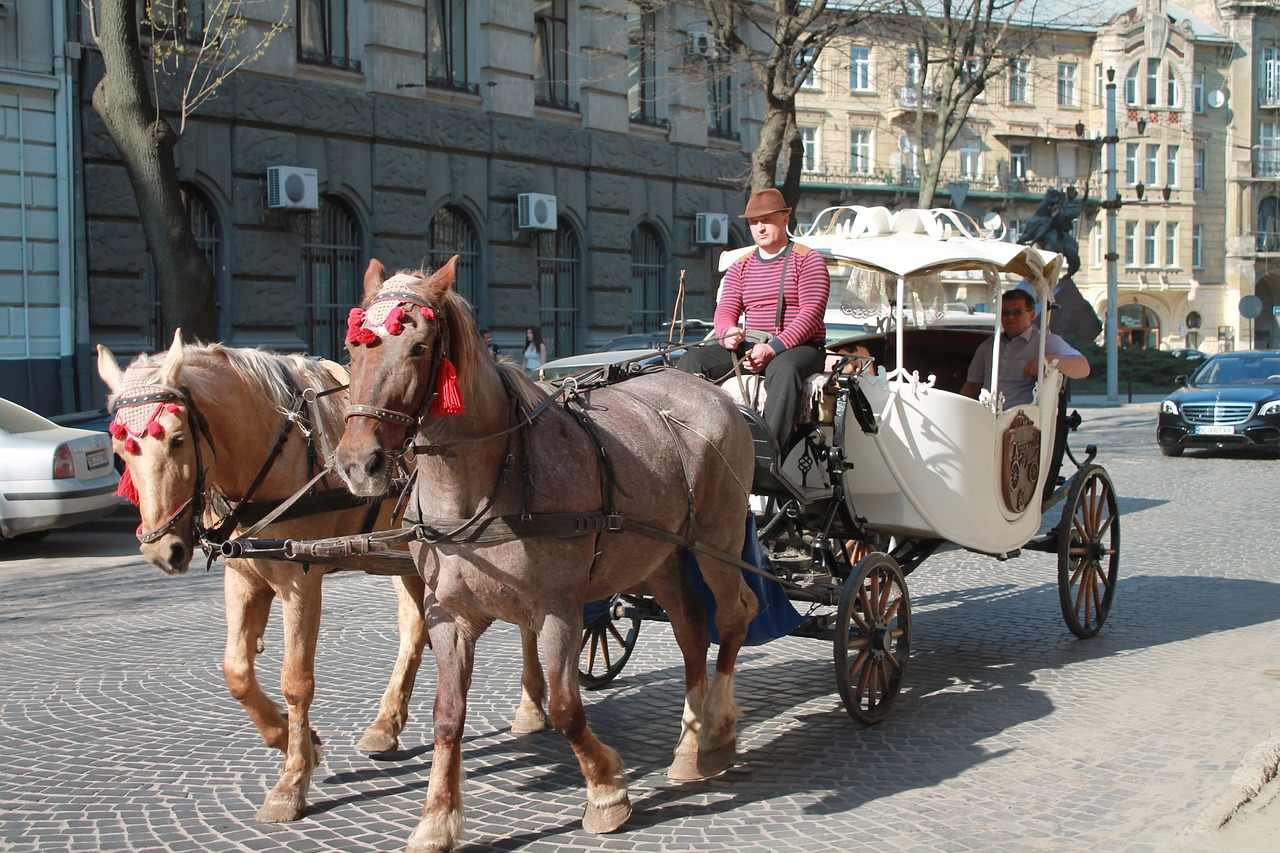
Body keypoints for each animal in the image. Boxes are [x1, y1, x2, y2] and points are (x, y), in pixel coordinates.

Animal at [93, 333, 550, 824]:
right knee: (415, 628)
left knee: (526, 618)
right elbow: (236, 672)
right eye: (121, 452)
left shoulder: (300, 580)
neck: (271, 449)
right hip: (406, 550)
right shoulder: (243, 578)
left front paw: (291, 782)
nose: (162, 550)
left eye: (177, 439)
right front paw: (294, 742)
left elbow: (296, 681)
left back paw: (530, 705)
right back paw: (385, 725)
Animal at [330, 258, 762, 850]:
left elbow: (565, 709)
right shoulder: (449, 615)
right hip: (661, 559)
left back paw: (716, 728)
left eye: (418, 348)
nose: (359, 463)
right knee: (694, 632)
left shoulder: (559, 609)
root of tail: (710, 389)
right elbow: (447, 716)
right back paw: (691, 743)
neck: (484, 485)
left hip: (718, 542)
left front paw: (606, 792)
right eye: (353, 348)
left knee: (735, 616)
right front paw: (437, 817)